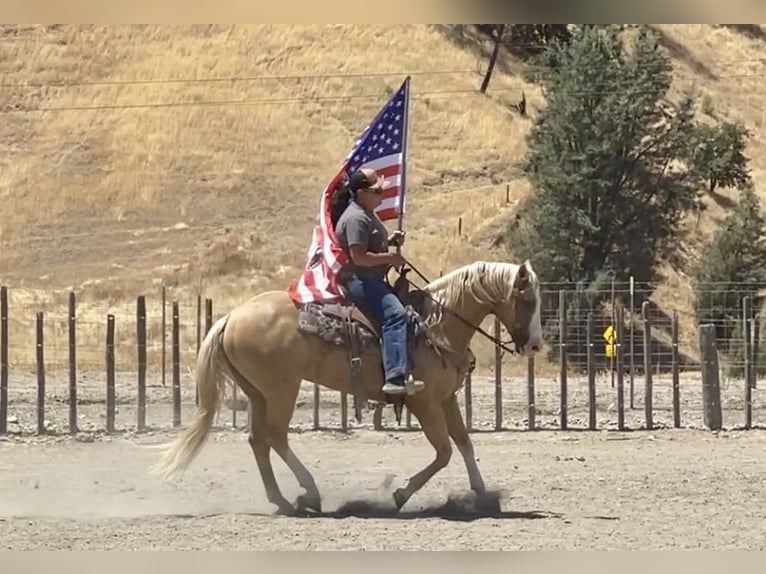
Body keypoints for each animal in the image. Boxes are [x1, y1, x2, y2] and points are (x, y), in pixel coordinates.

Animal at [152, 260, 544, 516]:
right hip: (282, 389)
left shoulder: (446, 398)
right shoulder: (424, 402)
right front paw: (400, 494)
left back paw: (282, 500)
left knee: (258, 441)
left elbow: (464, 443)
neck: (437, 325)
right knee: (276, 436)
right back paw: (309, 494)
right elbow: (444, 451)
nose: (535, 345)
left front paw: (482, 495)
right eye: (527, 301)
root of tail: (231, 316)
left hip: (258, 392)